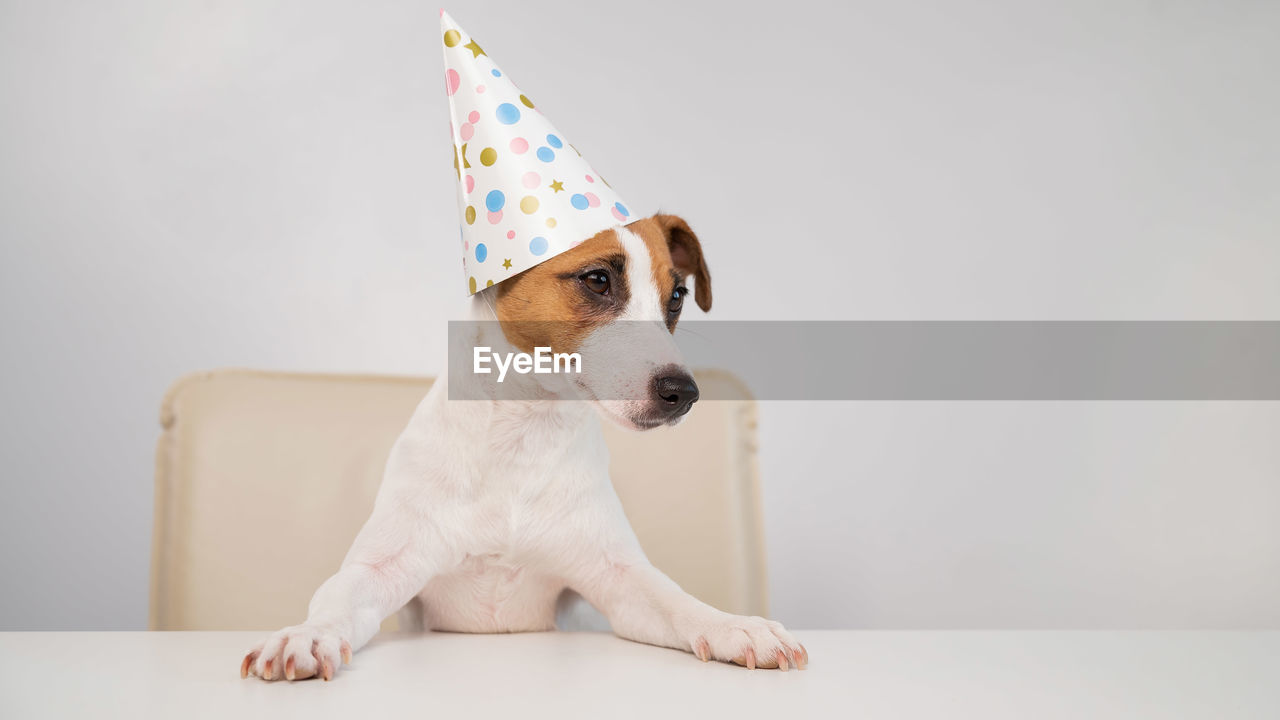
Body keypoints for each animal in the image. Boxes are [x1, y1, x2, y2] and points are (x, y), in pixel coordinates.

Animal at [238, 212, 808, 676]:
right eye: (598, 279)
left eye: (676, 298)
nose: (683, 393)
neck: (523, 433)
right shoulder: (383, 570)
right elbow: (337, 600)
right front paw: (306, 636)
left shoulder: (619, 582)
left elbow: (675, 601)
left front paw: (735, 625)